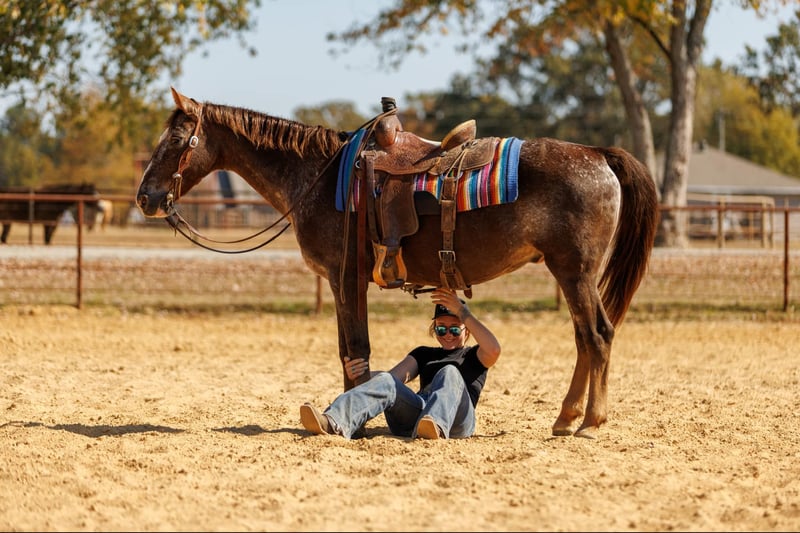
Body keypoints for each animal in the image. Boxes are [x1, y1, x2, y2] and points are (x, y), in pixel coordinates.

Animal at [136, 88, 658, 438]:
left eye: (176, 139)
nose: (145, 198)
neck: (320, 176)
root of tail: (598, 155)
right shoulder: (344, 283)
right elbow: (351, 354)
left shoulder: (345, 279)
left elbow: (356, 351)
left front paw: (353, 425)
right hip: (570, 274)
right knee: (584, 339)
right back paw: (567, 418)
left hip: (575, 272)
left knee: (597, 335)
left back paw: (589, 423)